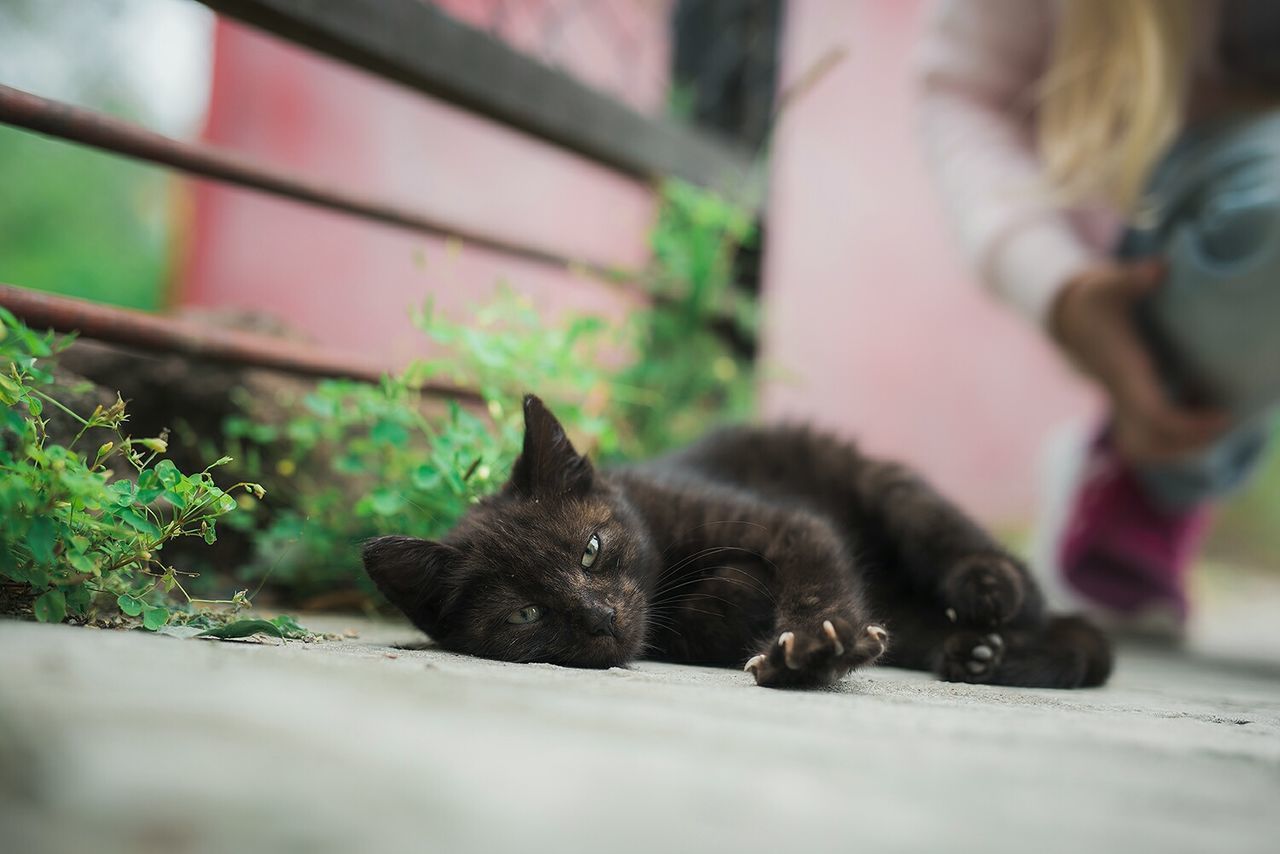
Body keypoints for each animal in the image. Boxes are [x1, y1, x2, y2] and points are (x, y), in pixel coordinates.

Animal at [363, 396, 1111, 691]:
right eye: (527, 613)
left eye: (591, 550)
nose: (601, 619)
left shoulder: (785, 524)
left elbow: (813, 575)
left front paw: (812, 645)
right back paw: (983, 654)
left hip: (886, 487)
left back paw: (987, 597)